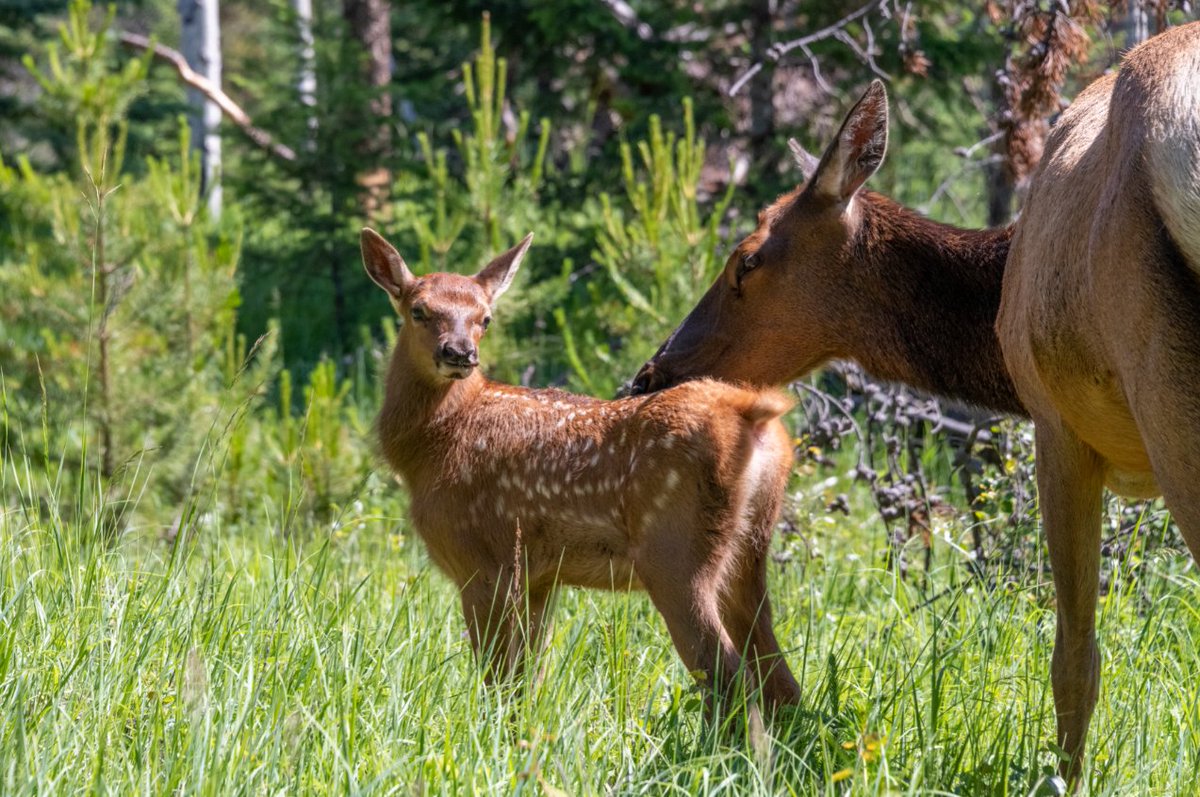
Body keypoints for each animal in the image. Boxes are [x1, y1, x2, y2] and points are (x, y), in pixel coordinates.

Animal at [360, 227, 802, 716]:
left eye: (485, 318)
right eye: (418, 310)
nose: (460, 352)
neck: (432, 446)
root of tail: (752, 413)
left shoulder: (480, 562)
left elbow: (496, 680)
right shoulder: (538, 576)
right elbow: (525, 683)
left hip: (675, 554)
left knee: (730, 679)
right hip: (750, 549)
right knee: (781, 682)